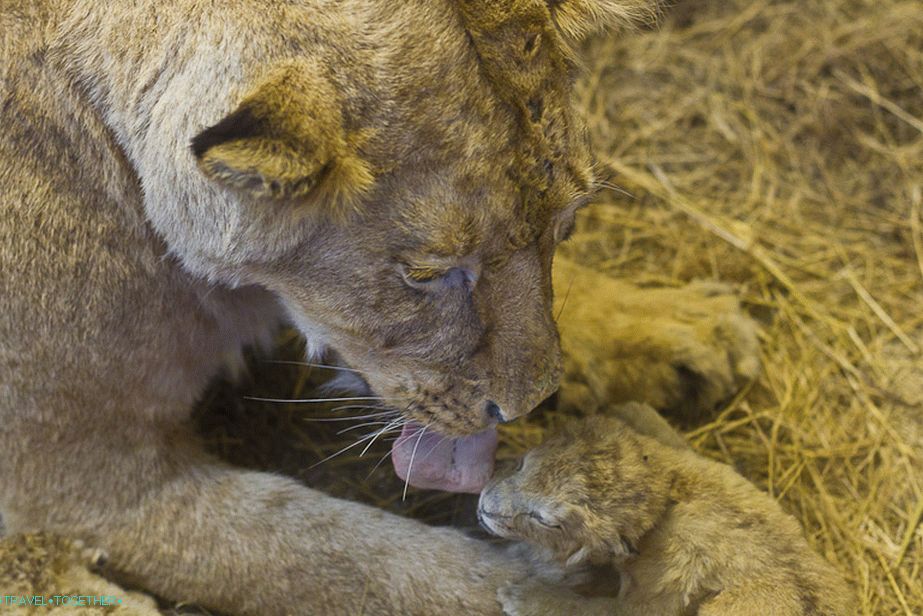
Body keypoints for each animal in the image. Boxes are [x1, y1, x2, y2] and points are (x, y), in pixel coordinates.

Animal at [1, 1, 756, 613]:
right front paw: (559, 593)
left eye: (565, 224)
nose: (530, 406)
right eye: (429, 274)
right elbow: (342, 557)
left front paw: (668, 328)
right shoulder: (85, 484)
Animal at [478, 409, 853, 616]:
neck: (667, 496)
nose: (483, 508)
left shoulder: (653, 598)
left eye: (546, 520)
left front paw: (523, 598)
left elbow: (590, 609)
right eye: (523, 463)